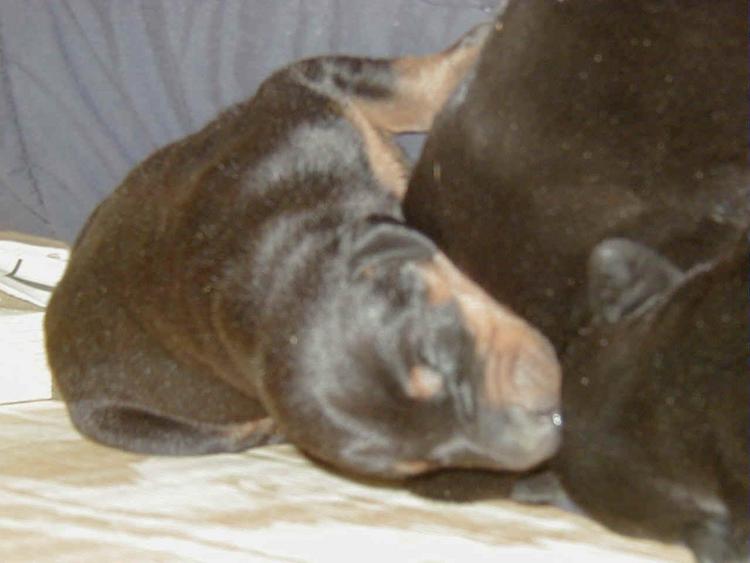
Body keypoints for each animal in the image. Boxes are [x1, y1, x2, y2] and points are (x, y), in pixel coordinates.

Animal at [42, 25, 564, 480]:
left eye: (434, 356)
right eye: (427, 462)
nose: (542, 439)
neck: (275, 254)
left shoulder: (308, 92)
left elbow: (402, 85)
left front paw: (476, 48)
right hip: (132, 423)